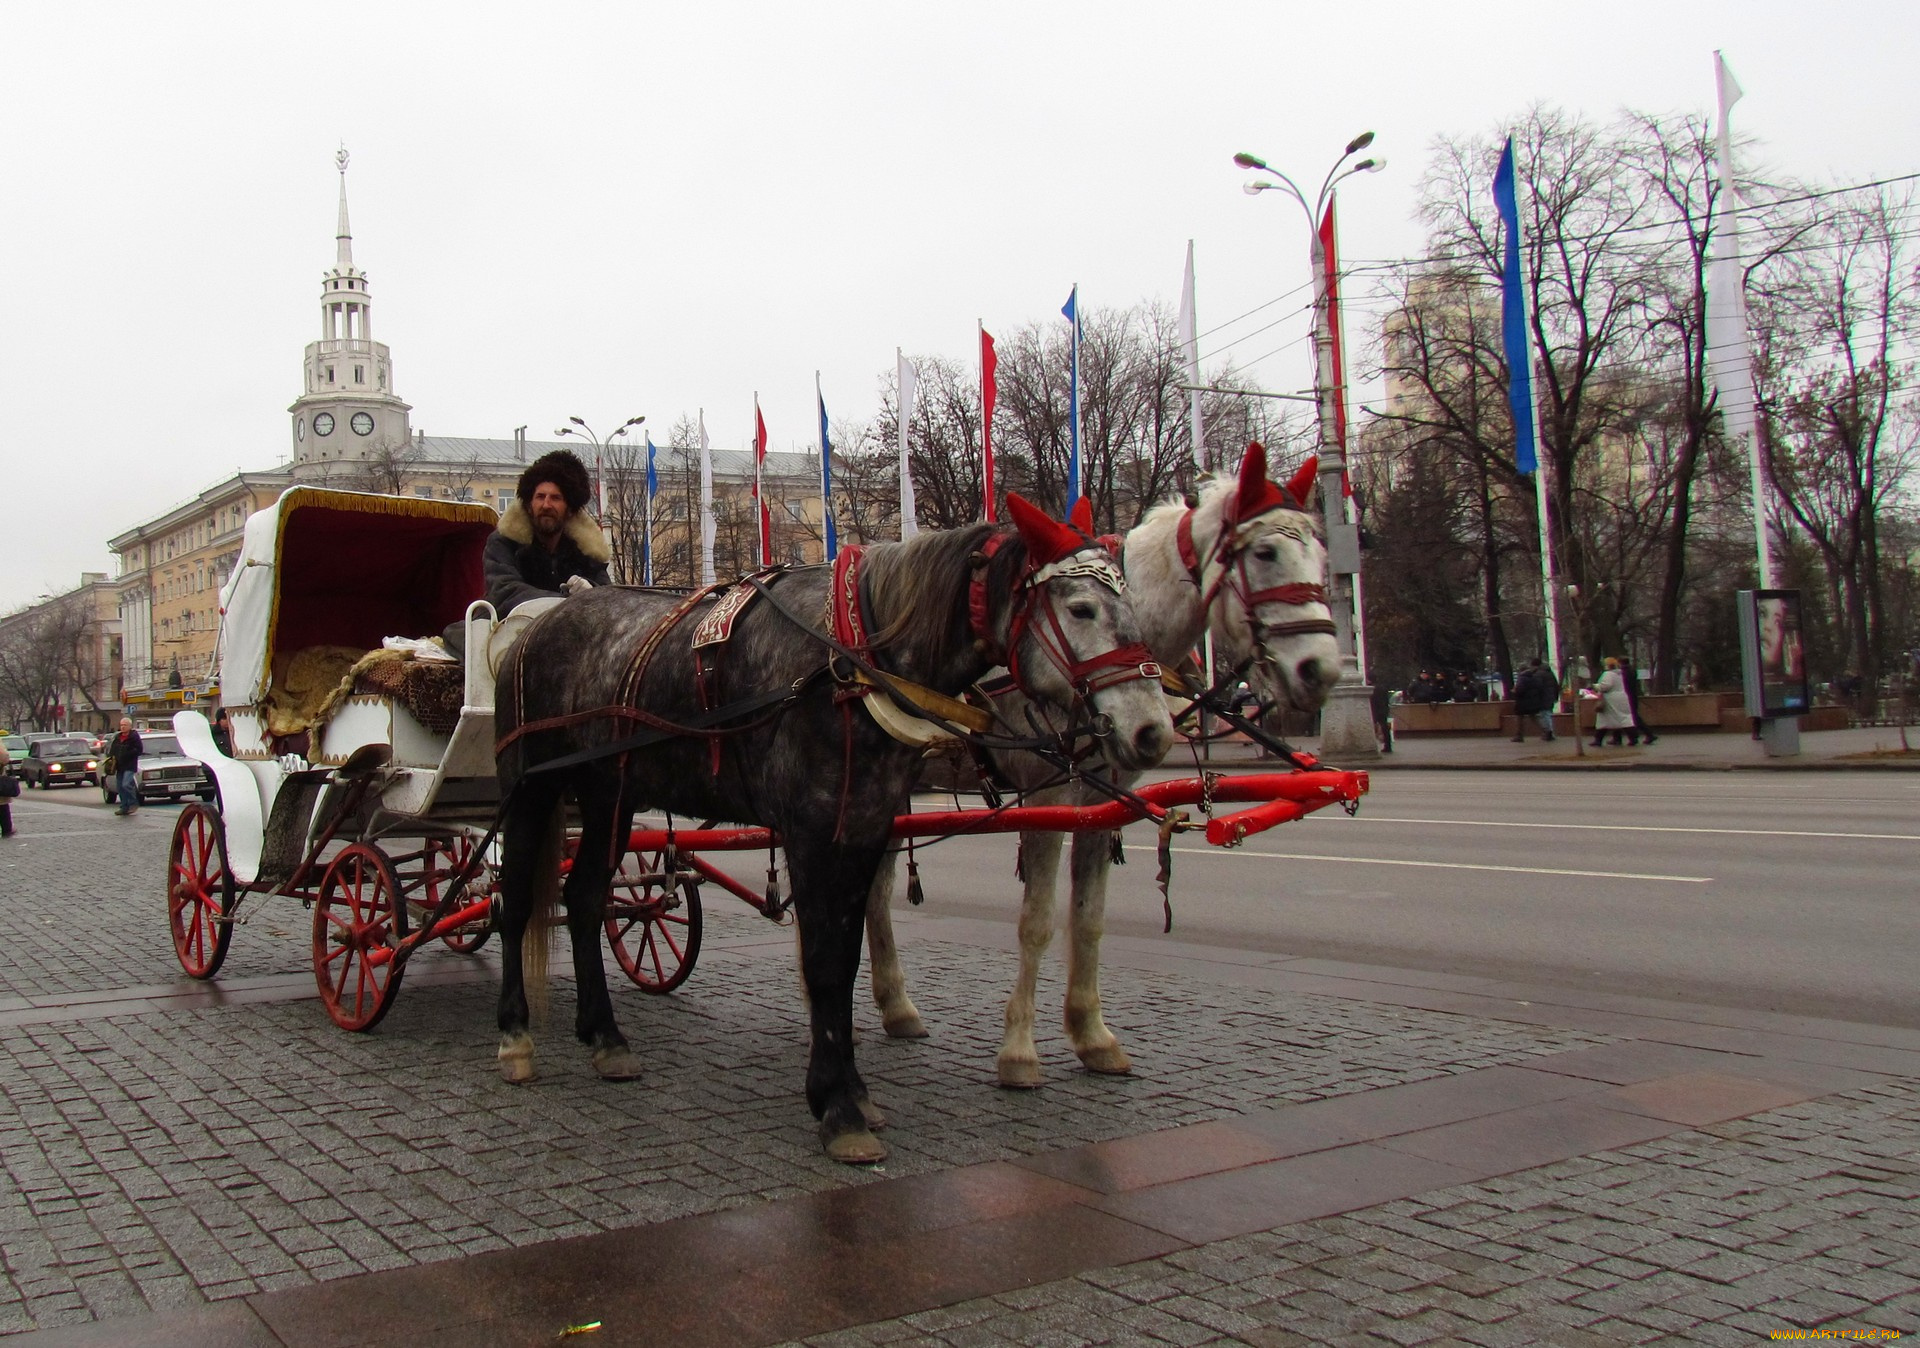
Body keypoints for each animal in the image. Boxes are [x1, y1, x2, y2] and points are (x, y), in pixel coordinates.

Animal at [864, 443, 1344, 1090]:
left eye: (1320, 555)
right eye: (1265, 553)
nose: (1322, 669)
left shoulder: (1103, 803)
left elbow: (1089, 919)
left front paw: (1092, 1036)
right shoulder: (1044, 800)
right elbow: (1037, 920)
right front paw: (1019, 1052)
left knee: (875, 889)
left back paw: (897, 1007)